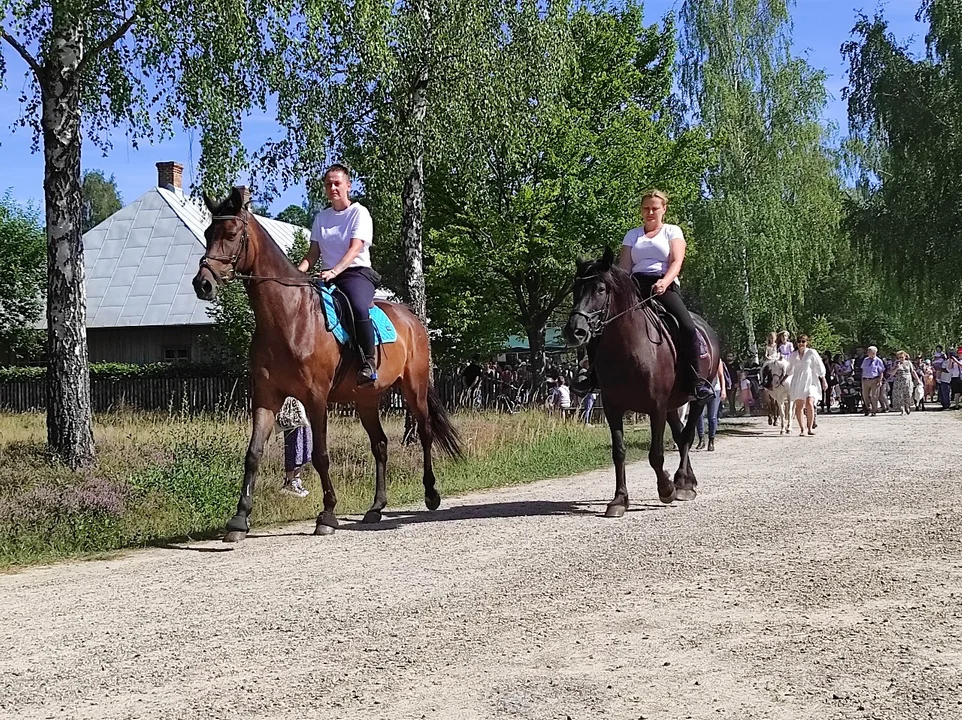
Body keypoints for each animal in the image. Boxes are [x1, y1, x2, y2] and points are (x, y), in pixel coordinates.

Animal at [189, 188, 460, 536]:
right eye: (209, 233)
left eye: (232, 234)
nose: (203, 283)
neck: (289, 316)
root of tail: (413, 319)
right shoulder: (266, 397)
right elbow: (253, 454)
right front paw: (239, 519)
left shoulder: (316, 398)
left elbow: (320, 455)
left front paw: (327, 514)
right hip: (367, 399)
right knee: (380, 445)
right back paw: (376, 508)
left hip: (414, 387)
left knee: (424, 433)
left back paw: (430, 494)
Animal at [560, 249, 716, 516]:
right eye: (575, 288)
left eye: (600, 289)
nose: (575, 331)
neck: (629, 348)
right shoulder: (612, 407)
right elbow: (619, 453)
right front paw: (619, 500)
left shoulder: (656, 407)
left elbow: (656, 455)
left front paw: (666, 489)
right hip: (673, 404)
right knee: (679, 435)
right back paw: (687, 481)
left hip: (696, 400)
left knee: (686, 435)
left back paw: (682, 483)